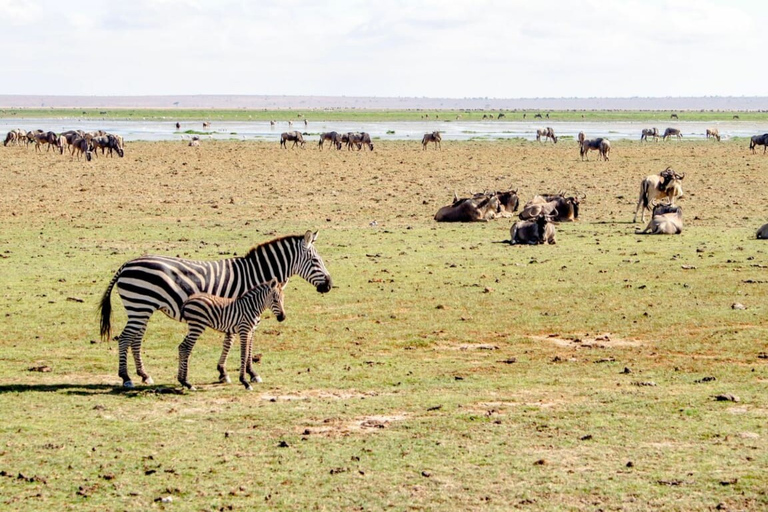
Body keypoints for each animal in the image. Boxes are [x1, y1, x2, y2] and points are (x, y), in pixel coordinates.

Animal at [99, 230, 332, 386]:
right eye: (315, 260)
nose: (329, 285)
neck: (255, 274)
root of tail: (127, 264)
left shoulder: (234, 311)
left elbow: (231, 340)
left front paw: (224, 371)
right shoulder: (244, 309)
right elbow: (241, 342)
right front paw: (248, 373)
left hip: (142, 308)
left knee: (135, 339)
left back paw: (144, 375)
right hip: (140, 306)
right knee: (126, 338)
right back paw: (126, 378)